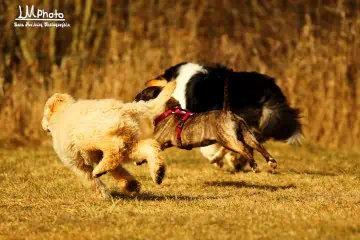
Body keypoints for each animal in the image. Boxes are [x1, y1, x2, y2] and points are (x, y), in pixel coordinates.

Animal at [41, 82, 176, 199]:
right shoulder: (96, 157)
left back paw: (99, 170)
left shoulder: (78, 164)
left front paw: (102, 195)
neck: (61, 113)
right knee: (149, 146)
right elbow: (119, 171)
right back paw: (158, 172)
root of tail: (125, 108)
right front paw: (131, 185)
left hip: (95, 137)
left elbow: (90, 180)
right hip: (128, 144)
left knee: (115, 151)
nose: (44, 126)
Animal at [142, 62, 302, 171]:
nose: (146, 81)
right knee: (252, 144)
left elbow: (207, 147)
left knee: (239, 145)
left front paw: (217, 159)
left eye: (161, 75)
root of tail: (267, 89)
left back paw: (225, 160)